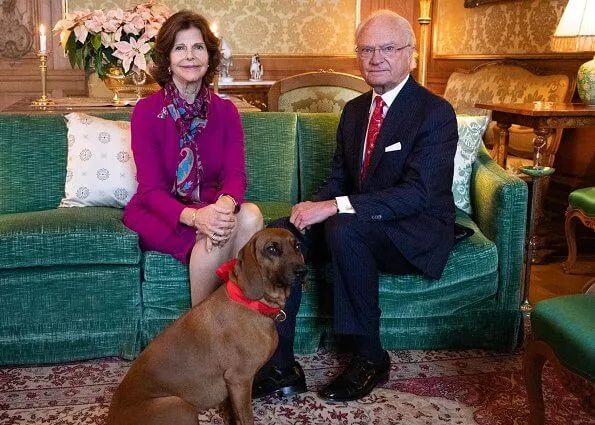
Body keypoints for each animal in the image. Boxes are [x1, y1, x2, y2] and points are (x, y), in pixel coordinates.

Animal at [107, 229, 310, 424]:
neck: (252, 303)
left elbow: (231, 413)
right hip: (180, 405)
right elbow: (246, 417)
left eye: (297, 246)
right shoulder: (240, 379)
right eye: (271, 249)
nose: (303, 271)